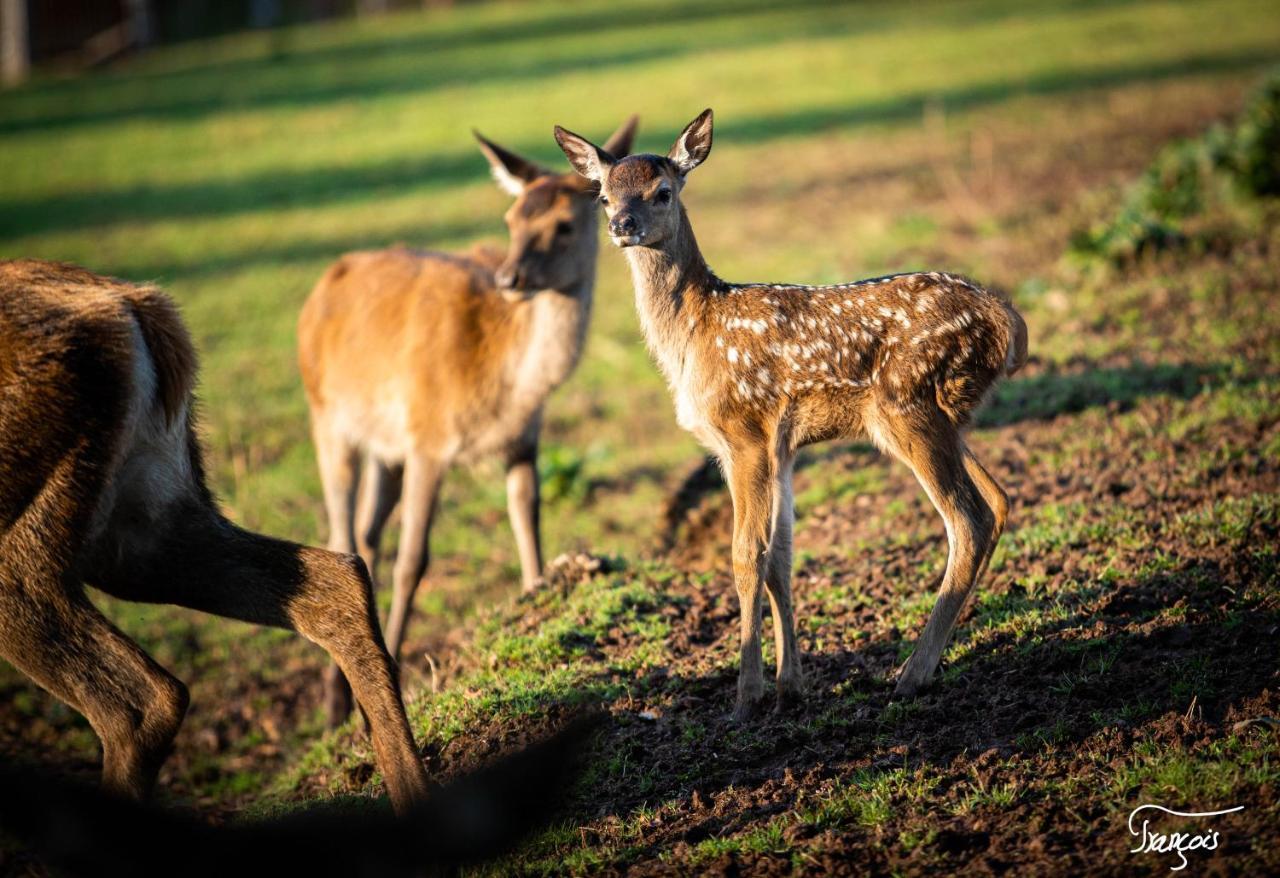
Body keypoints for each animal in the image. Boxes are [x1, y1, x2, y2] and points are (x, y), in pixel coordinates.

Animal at [299, 115, 640, 721]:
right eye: (511, 219)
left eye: (565, 224)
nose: (509, 278)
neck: (505, 390)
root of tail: (320, 288)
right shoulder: (428, 438)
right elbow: (414, 559)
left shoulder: (524, 442)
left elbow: (528, 526)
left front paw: (539, 601)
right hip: (327, 420)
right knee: (342, 532)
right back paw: (336, 706)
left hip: (384, 447)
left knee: (365, 533)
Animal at [555, 110, 1024, 721]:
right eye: (604, 196)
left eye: (662, 191)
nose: (623, 225)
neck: (695, 334)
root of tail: (1008, 320)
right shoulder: (777, 445)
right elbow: (781, 556)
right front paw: (790, 686)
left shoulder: (744, 432)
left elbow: (744, 554)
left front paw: (746, 696)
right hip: (946, 417)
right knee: (998, 499)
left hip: (907, 406)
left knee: (967, 519)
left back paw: (912, 675)